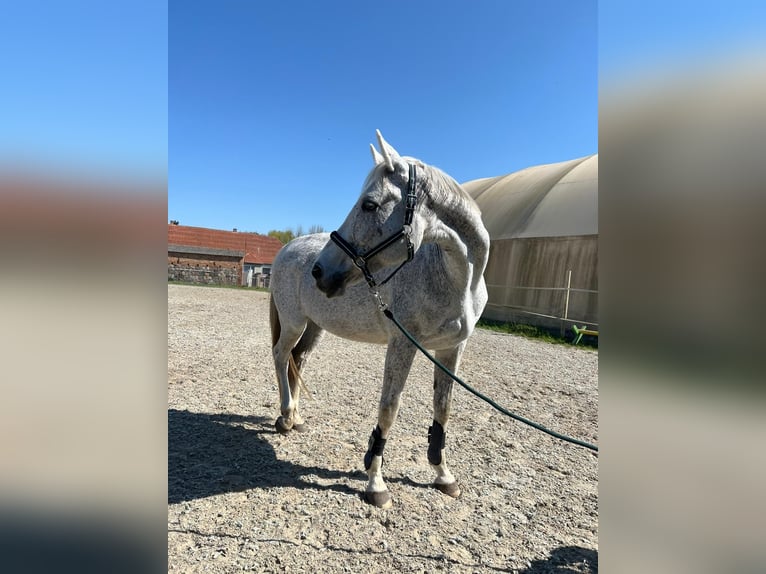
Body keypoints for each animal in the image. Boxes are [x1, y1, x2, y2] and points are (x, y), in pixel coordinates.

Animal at [269, 130, 490, 508]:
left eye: (369, 205)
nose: (320, 272)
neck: (454, 279)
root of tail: (287, 248)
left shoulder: (451, 350)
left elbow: (442, 410)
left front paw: (444, 476)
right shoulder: (402, 344)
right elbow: (389, 408)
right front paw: (376, 483)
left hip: (314, 327)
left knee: (299, 359)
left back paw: (295, 418)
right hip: (294, 323)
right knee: (282, 356)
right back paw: (284, 416)